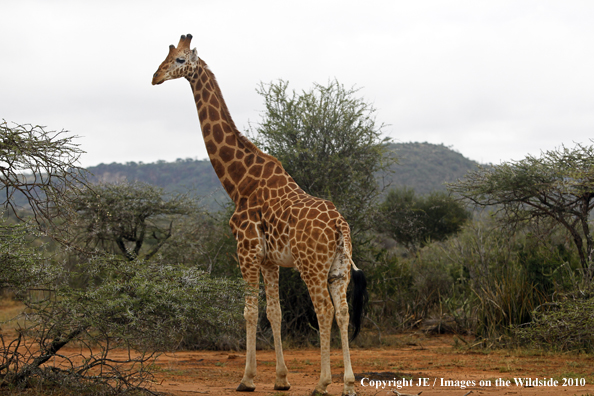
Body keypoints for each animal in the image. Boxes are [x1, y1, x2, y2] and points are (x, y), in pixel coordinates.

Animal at [153, 34, 366, 396]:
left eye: (180, 60)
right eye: (165, 55)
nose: (155, 77)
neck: (240, 182)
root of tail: (340, 224)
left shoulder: (246, 249)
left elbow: (250, 311)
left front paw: (247, 378)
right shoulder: (269, 260)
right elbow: (275, 312)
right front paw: (281, 379)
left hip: (311, 266)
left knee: (323, 310)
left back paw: (323, 383)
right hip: (338, 269)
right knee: (343, 311)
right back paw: (349, 384)